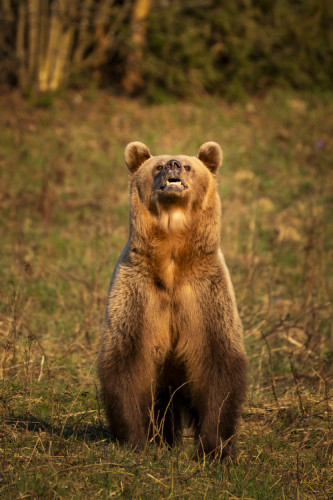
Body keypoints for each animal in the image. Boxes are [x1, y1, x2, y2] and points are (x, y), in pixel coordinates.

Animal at [97, 142, 245, 460]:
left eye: (188, 166)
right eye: (157, 165)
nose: (173, 165)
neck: (173, 260)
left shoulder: (204, 295)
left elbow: (218, 362)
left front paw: (213, 449)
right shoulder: (139, 294)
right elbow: (126, 361)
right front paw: (135, 440)